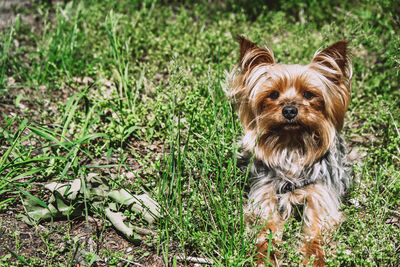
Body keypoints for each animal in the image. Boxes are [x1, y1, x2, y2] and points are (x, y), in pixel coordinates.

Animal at [227, 36, 352, 266]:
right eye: (273, 94)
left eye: (309, 94)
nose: (290, 110)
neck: (292, 145)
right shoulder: (265, 193)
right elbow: (266, 228)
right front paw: (264, 257)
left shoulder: (319, 194)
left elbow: (315, 231)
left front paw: (315, 259)